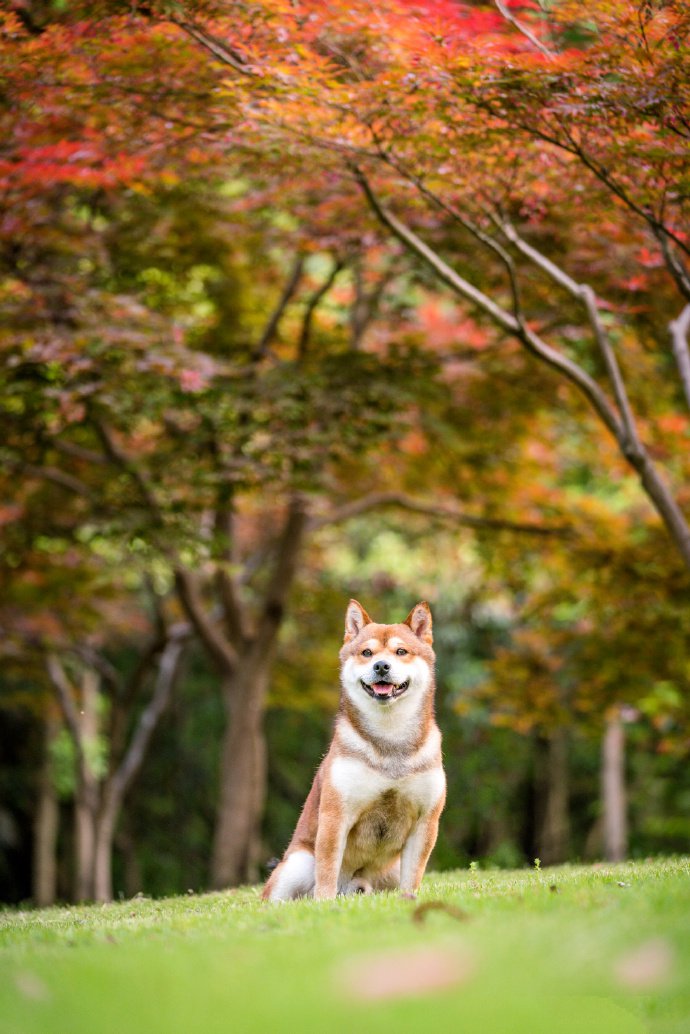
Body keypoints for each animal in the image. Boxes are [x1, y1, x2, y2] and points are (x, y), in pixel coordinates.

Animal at [261, 603, 444, 901]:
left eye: (401, 651)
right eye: (367, 653)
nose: (381, 665)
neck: (390, 739)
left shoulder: (426, 820)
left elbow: (413, 877)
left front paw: (408, 901)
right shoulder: (336, 815)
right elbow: (327, 870)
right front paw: (324, 903)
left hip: (390, 871)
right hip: (297, 864)